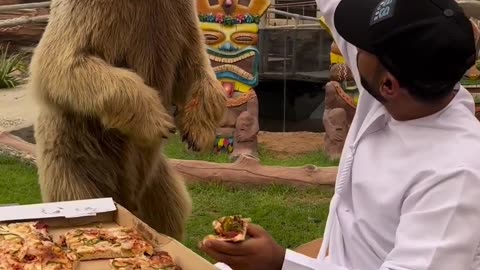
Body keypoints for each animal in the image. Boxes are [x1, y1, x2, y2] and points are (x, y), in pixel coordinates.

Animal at [27, 0, 227, 240]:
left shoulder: (178, 18)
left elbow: (195, 64)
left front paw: (197, 133)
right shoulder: (90, 15)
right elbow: (62, 61)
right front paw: (158, 121)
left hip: (156, 179)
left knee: (170, 207)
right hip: (75, 167)